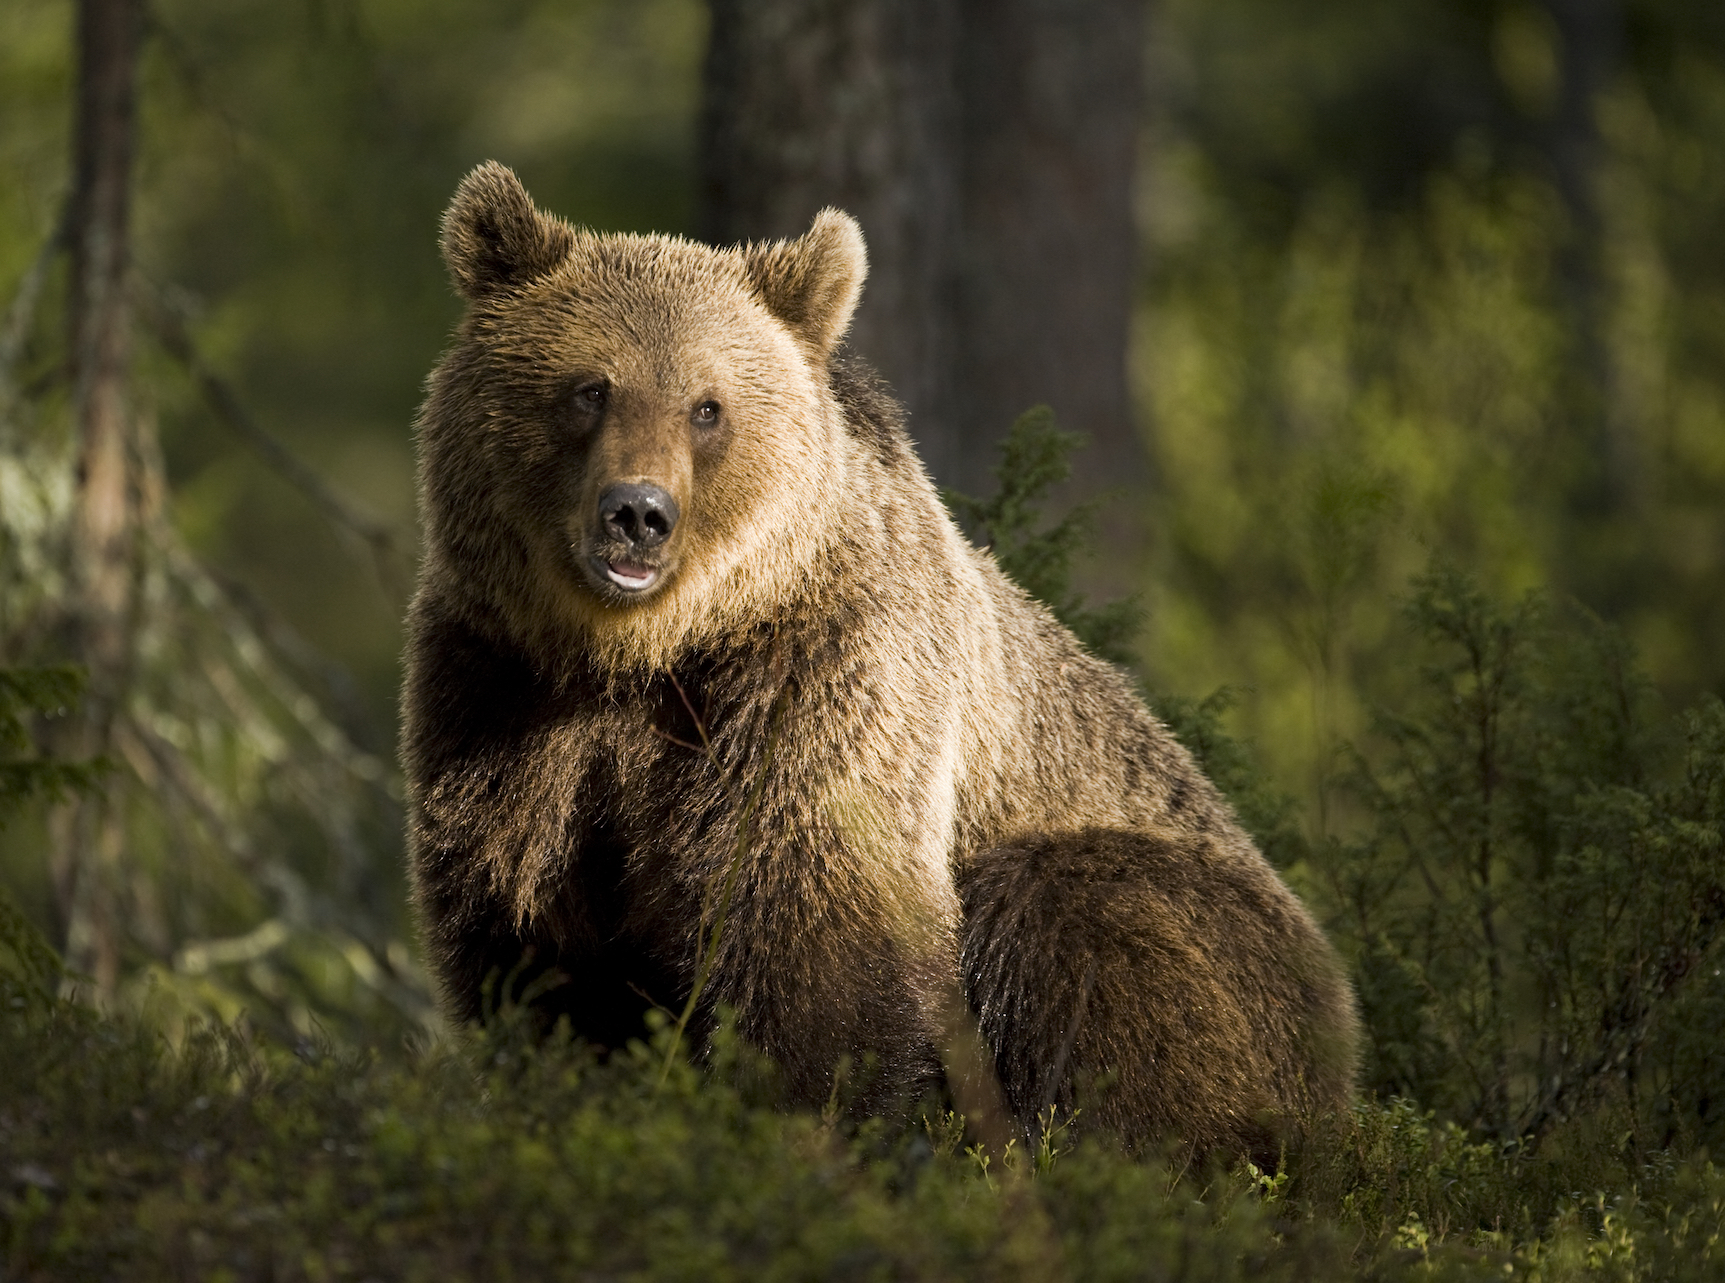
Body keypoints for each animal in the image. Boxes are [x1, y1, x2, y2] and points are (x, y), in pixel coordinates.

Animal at [403, 161, 1358, 1159]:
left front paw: (809, 1122)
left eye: (707, 406)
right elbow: (530, 932)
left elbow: (819, 921)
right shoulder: (501, 689)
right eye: (591, 387)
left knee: (1069, 916)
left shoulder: (820, 675)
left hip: (1218, 944)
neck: (645, 652)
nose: (637, 512)